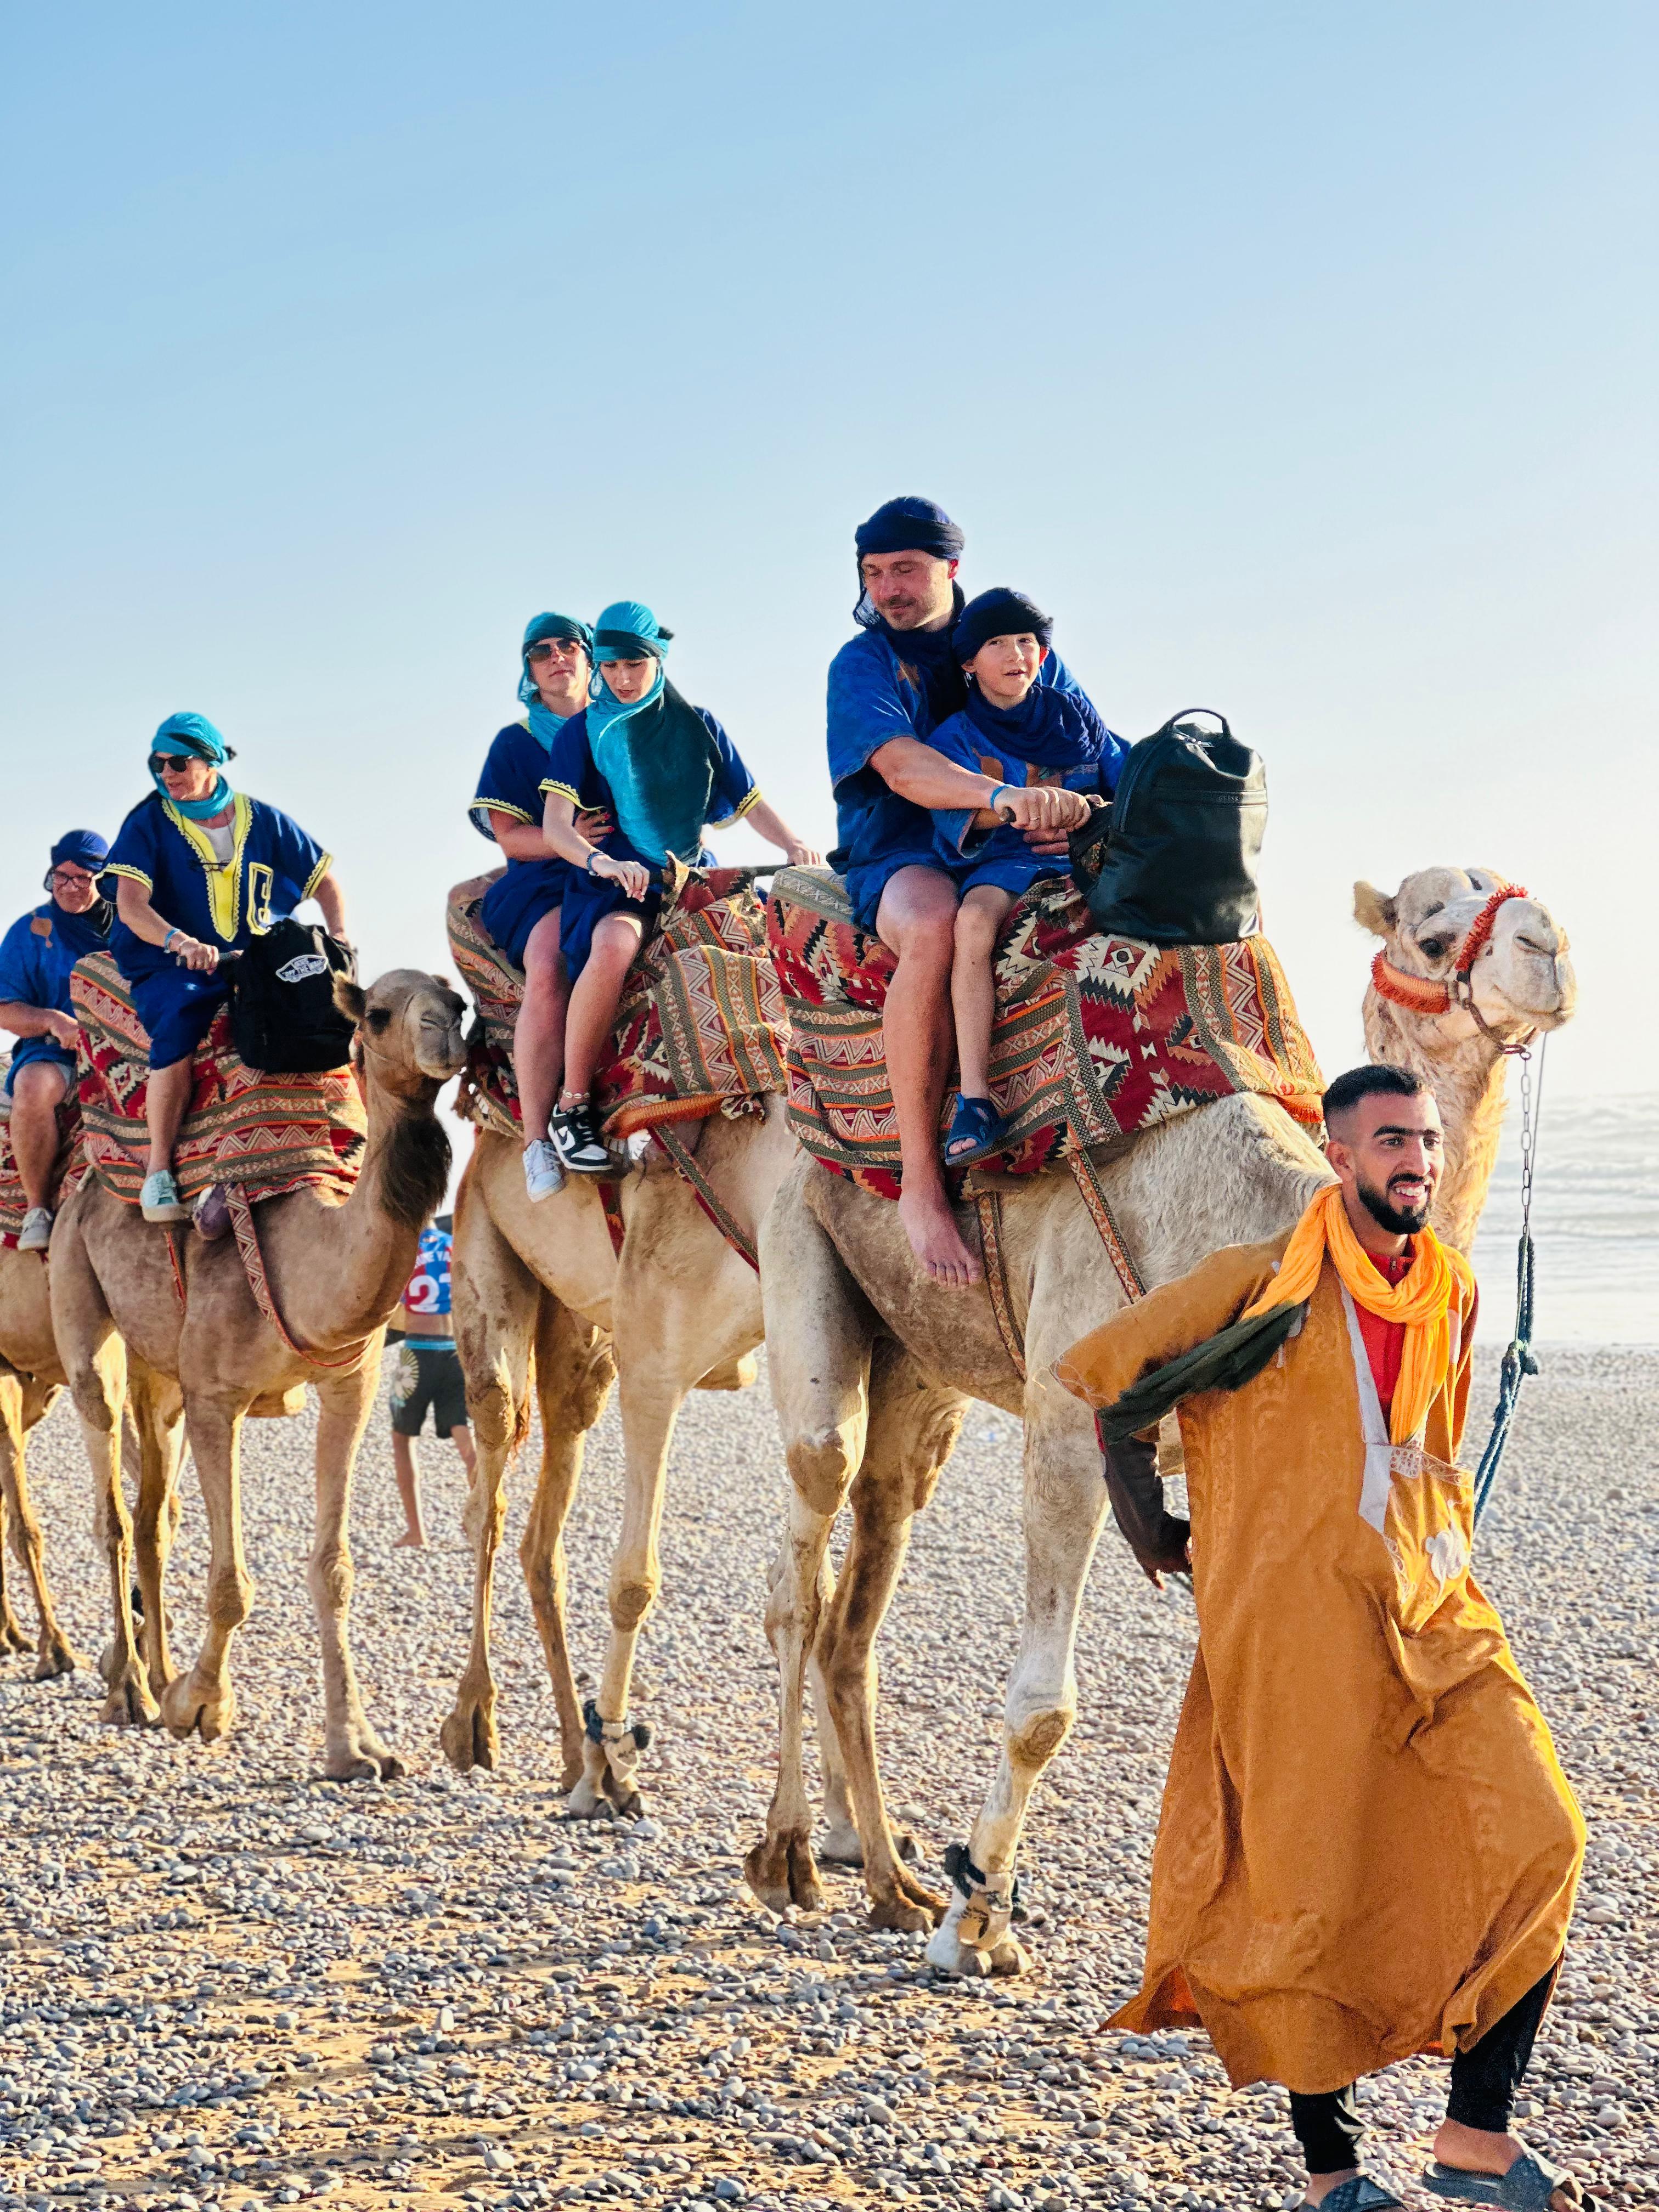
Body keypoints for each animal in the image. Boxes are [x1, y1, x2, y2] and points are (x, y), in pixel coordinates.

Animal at [49, 969, 466, 1779]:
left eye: (457, 1000)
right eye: (378, 1014)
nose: (445, 1037)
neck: (305, 1259)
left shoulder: (350, 1389)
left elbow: (333, 1570)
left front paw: (356, 1747)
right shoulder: (217, 1398)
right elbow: (231, 1585)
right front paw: (197, 1705)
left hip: (160, 1374)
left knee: (152, 1515)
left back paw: (150, 1673)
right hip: (79, 1303)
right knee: (111, 1504)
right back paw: (131, 1693)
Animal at [443, 1094, 798, 1811]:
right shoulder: (654, 1366)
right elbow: (635, 1582)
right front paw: (613, 1766)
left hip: (582, 1333)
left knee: (542, 1532)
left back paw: (568, 1751)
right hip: (485, 1246)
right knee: (488, 1492)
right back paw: (476, 1723)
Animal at [746, 868, 1577, 1976]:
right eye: (1434, 933)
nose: (1547, 945)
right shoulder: (1068, 1422)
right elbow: (1042, 1709)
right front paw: (978, 1925)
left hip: (918, 1362)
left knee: (860, 1583)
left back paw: (885, 1875)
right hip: (799, 1242)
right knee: (802, 1550)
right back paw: (790, 1854)